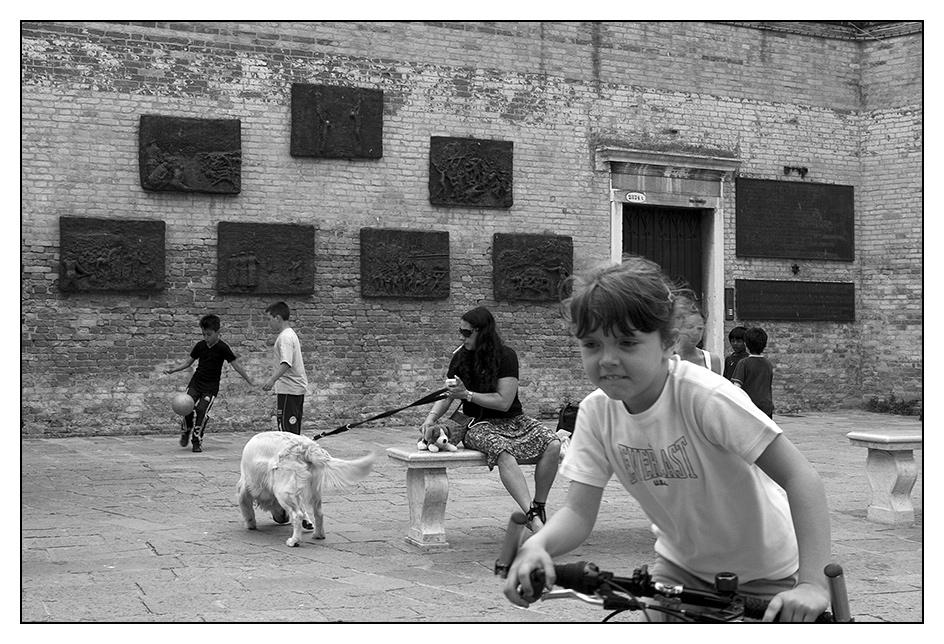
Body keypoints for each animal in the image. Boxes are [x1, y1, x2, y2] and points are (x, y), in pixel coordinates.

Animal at [235, 430, 376, 544]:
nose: (284, 519)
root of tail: (305, 446)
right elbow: (303, 507)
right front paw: (307, 522)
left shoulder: (245, 486)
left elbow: (246, 508)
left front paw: (250, 524)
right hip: (314, 490)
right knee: (319, 513)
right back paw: (318, 535)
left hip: (281, 490)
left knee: (297, 515)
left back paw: (294, 541)